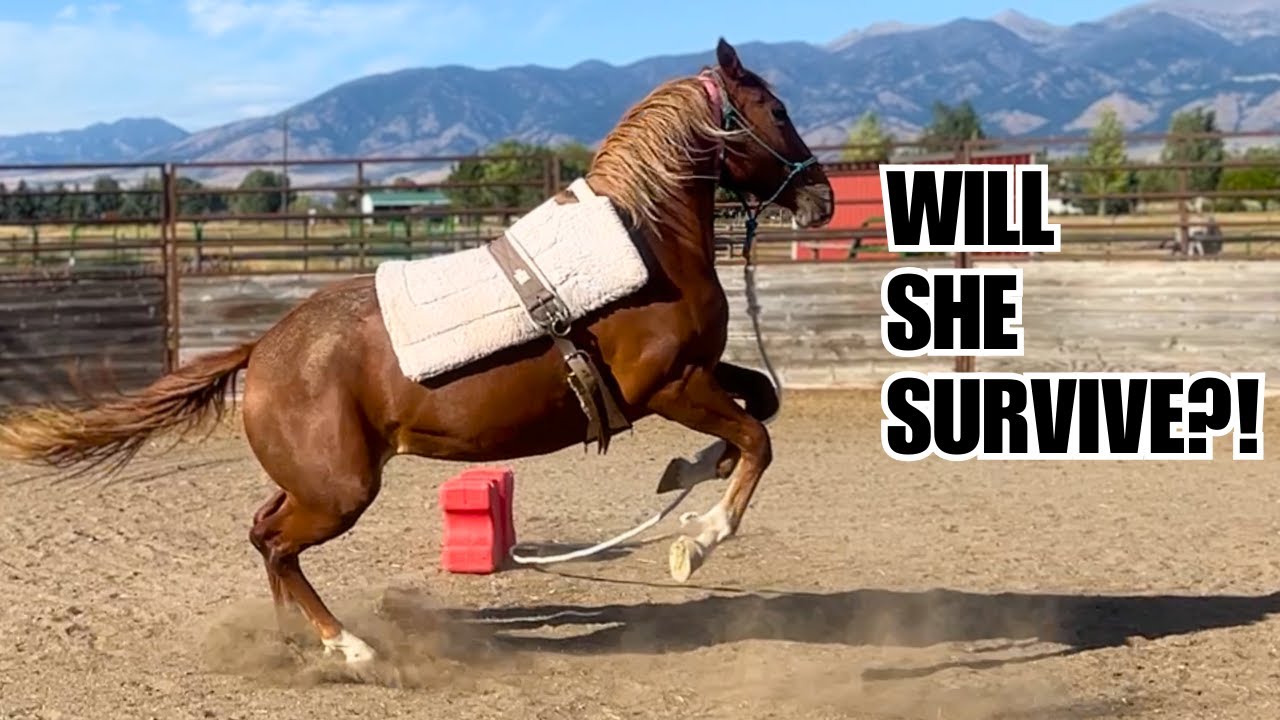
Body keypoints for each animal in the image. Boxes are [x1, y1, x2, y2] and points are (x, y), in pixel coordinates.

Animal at [0, 38, 834, 666]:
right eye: (777, 110)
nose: (822, 197)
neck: (646, 240)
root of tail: (262, 349)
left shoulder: (698, 378)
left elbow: (760, 409)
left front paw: (687, 477)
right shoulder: (670, 386)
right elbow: (756, 440)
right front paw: (699, 540)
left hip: (313, 482)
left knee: (263, 532)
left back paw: (295, 641)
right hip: (340, 490)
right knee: (275, 543)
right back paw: (348, 648)